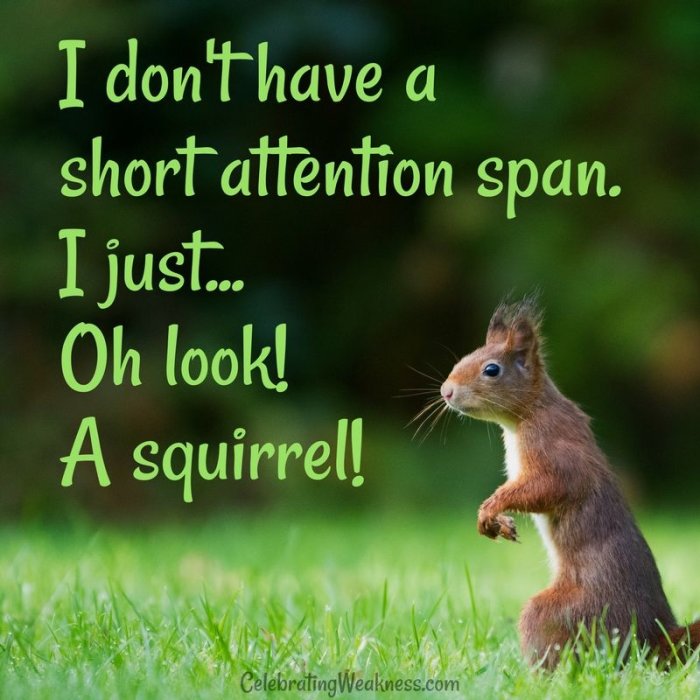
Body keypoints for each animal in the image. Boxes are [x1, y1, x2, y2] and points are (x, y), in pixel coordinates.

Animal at [439, 297, 699, 668]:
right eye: (463, 358)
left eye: (492, 370)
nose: (446, 391)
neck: (530, 412)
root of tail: (651, 638)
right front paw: (499, 521)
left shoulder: (554, 453)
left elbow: (546, 488)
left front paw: (491, 509)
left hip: (570, 613)